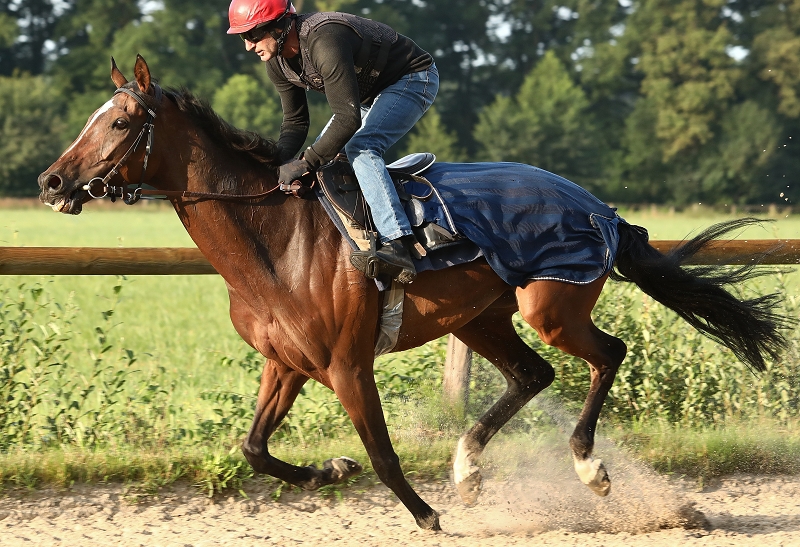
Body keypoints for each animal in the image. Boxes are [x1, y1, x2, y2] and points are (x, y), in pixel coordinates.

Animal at [38, 55, 790, 531]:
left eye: (117, 123)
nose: (51, 181)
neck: (277, 240)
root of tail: (600, 209)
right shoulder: (286, 363)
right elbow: (253, 448)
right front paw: (332, 469)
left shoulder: (347, 363)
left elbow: (382, 450)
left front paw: (425, 514)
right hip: (481, 317)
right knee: (534, 375)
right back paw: (467, 468)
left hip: (550, 306)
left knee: (608, 353)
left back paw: (588, 468)